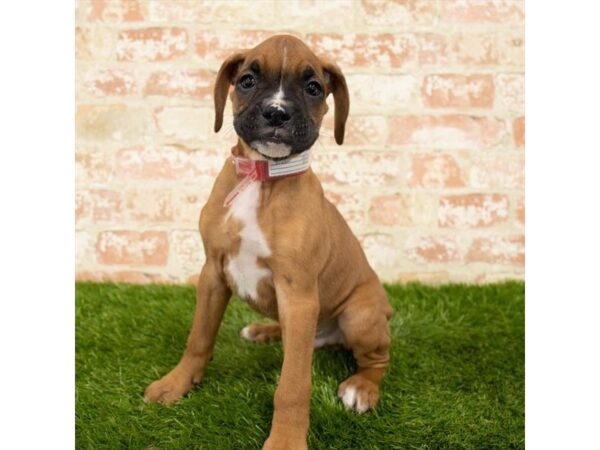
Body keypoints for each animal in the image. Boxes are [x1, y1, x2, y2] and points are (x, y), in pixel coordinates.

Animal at [145, 35, 394, 450]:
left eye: (313, 88)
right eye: (247, 80)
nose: (277, 113)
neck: (262, 176)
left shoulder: (297, 293)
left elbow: (293, 384)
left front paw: (286, 440)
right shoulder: (213, 274)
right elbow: (198, 338)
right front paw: (176, 384)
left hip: (358, 316)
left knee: (376, 360)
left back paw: (361, 388)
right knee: (303, 340)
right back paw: (263, 331)